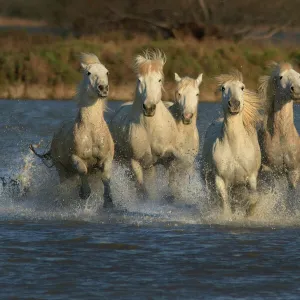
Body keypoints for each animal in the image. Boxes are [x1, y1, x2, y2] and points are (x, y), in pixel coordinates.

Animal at [30, 52, 115, 207]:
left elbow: (105, 177)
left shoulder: (107, 158)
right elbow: (82, 170)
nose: (103, 88)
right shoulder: (75, 158)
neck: (91, 132)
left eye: (107, 72)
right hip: (61, 169)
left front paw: (108, 202)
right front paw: (83, 193)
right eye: (89, 73)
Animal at [111, 49, 179, 199]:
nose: (149, 108)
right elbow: (144, 190)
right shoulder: (137, 162)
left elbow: (172, 185)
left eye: (159, 80)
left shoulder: (168, 159)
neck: (150, 129)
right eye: (139, 80)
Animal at [202, 71, 262, 216]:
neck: (234, 147)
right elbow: (224, 203)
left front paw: (249, 215)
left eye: (242, 87)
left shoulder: (251, 177)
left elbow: (253, 198)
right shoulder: (220, 179)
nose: (234, 104)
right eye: (223, 88)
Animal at [256, 62, 300, 191]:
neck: (281, 136)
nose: (296, 90)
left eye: (299, 75)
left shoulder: (293, 171)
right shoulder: (271, 171)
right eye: (281, 77)